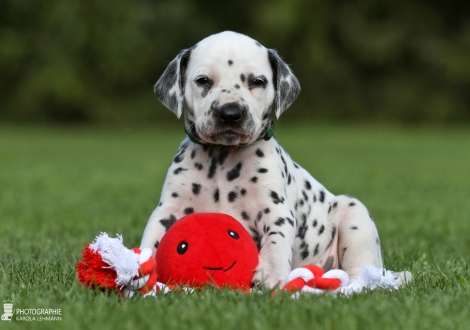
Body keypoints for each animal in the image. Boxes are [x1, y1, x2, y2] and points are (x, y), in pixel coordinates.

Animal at [139, 31, 382, 288]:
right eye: (203, 81)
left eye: (257, 81)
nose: (230, 113)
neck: (222, 158)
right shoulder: (168, 210)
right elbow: (151, 239)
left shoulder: (275, 210)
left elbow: (277, 241)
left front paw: (271, 273)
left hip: (356, 217)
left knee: (362, 274)